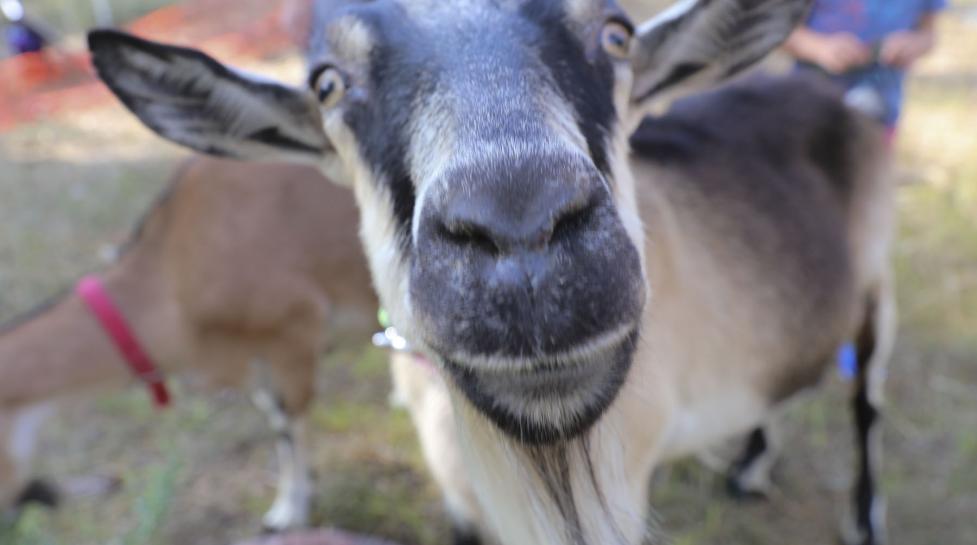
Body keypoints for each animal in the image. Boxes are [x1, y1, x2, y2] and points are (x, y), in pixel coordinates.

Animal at [0, 155, 378, 528]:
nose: (27, 505)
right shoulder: (256, 356)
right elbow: (276, 420)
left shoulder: (295, 329)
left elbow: (290, 422)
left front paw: (288, 512)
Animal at [84, 1, 892, 544]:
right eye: (327, 84)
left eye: (616, 33)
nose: (520, 223)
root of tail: (838, 95)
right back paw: (751, 468)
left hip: (877, 290)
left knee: (865, 404)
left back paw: (862, 515)